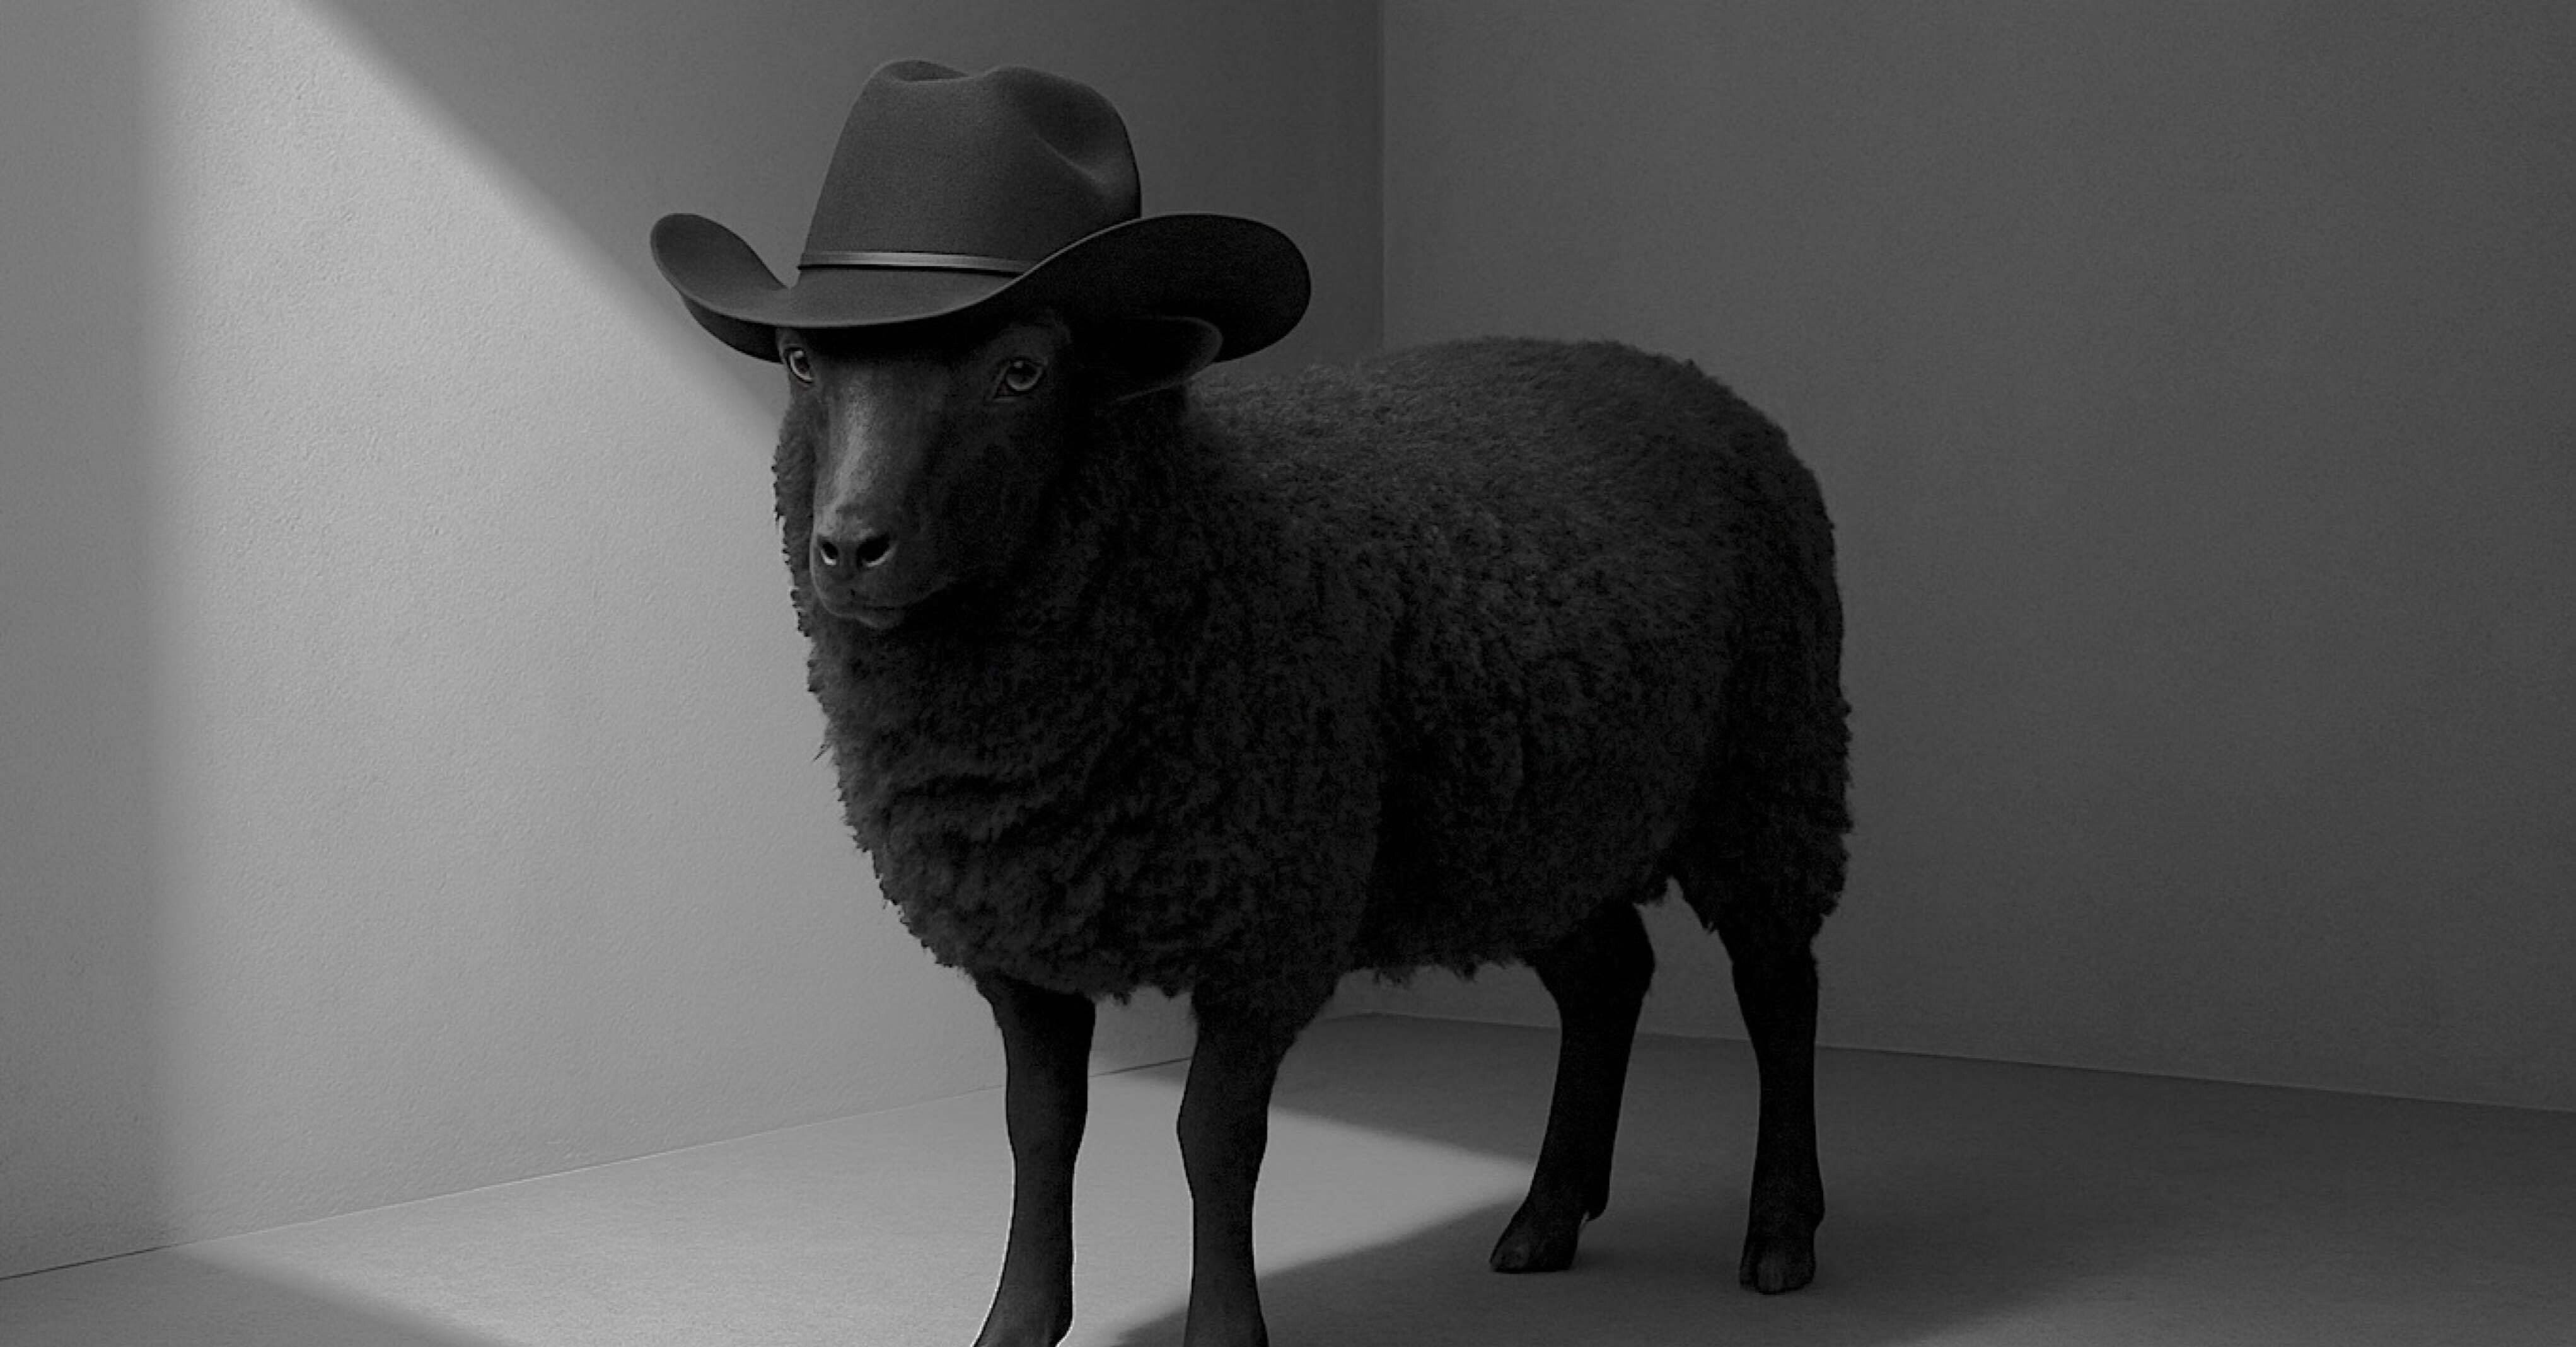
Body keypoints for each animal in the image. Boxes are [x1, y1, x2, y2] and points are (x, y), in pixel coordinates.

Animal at [755, 307, 1852, 1347]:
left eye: (1021, 370)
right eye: (803, 360)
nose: (849, 548)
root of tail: (1694, 383)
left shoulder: (1271, 925)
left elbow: (1213, 1139)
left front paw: (1223, 1329)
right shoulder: (1021, 940)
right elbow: (1039, 1127)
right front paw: (1015, 1324)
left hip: (1768, 771)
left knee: (1779, 990)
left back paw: (1781, 1233)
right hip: (1540, 831)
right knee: (1608, 979)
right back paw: (1547, 1215)